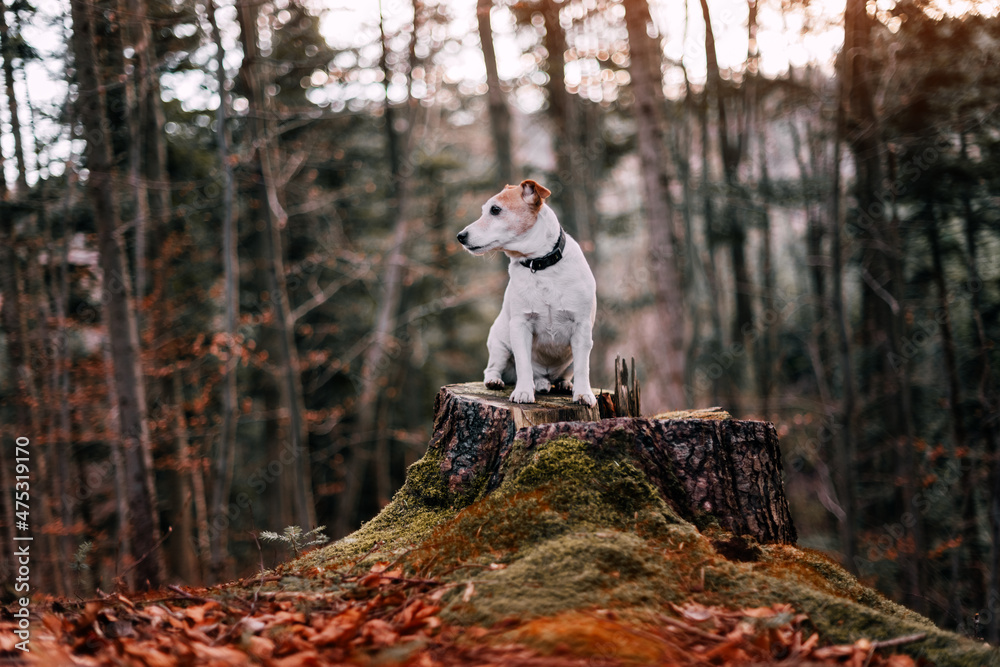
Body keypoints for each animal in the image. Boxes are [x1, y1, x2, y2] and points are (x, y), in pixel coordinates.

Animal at [458, 179, 596, 408]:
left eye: (495, 210)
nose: (460, 236)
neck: (539, 265)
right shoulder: (520, 326)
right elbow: (523, 364)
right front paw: (523, 392)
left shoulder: (582, 328)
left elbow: (583, 367)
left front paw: (583, 394)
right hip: (500, 344)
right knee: (493, 368)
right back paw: (501, 381)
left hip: (566, 361)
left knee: (564, 374)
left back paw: (560, 384)